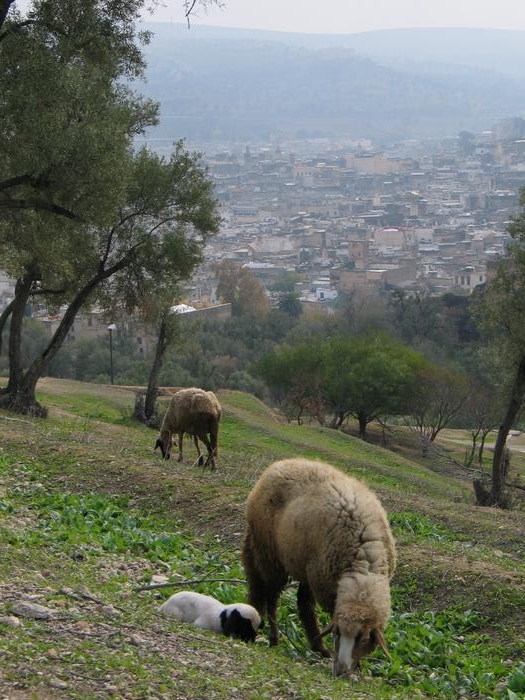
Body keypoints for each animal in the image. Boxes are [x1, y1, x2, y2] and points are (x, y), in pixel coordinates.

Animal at [239, 456, 396, 676]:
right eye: (337, 633)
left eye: (364, 639)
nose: (341, 671)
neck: (362, 566)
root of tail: (279, 464)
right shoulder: (323, 583)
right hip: (270, 554)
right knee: (271, 598)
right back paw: (276, 639)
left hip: (300, 564)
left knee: (290, 599)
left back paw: (315, 646)